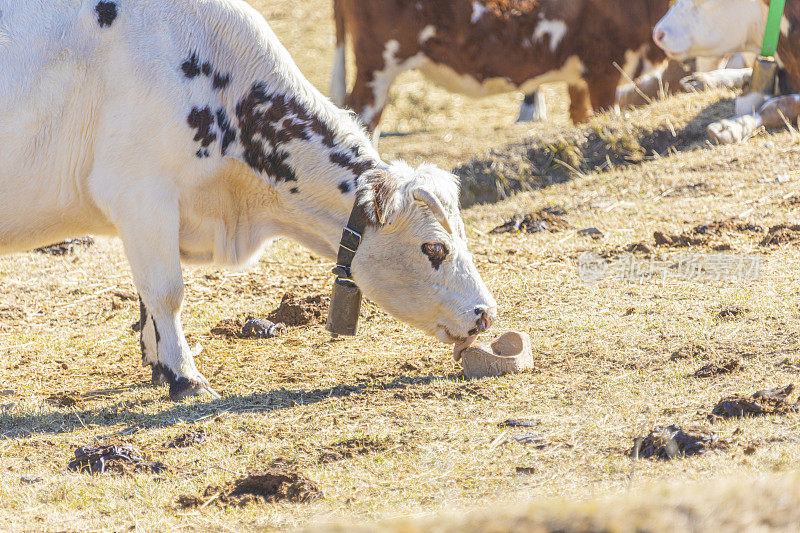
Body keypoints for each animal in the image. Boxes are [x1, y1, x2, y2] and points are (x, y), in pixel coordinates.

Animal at [0, 0, 496, 400]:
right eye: (434, 247)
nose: (486, 314)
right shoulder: (140, 192)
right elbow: (165, 291)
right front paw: (185, 378)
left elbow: (146, 297)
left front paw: (158, 363)